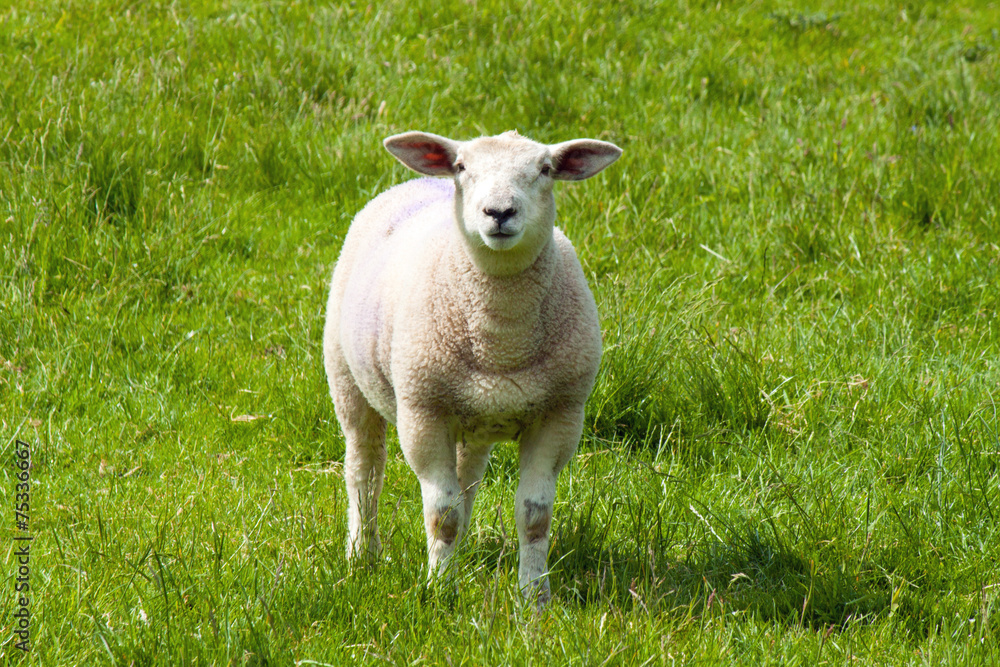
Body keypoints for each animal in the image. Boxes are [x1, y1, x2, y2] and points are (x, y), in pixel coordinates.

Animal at [324, 128, 620, 604]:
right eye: (463, 166)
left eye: (545, 169)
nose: (499, 212)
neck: (502, 339)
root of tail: (420, 181)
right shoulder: (423, 412)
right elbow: (441, 514)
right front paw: (440, 592)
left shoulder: (560, 415)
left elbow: (533, 516)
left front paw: (535, 598)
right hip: (347, 377)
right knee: (364, 469)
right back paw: (361, 554)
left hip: (475, 416)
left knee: (467, 481)